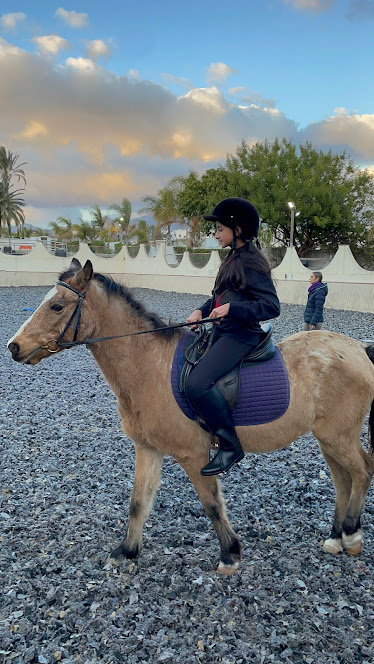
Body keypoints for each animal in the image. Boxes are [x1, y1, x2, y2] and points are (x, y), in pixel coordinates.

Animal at [6, 260, 374, 576]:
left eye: (57, 306)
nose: (13, 347)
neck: (148, 366)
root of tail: (359, 348)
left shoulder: (194, 454)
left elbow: (211, 504)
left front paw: (230, 555)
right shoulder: (148, 449)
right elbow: (138, 502)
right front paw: (126, 551)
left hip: (338, 436)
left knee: (361, 471)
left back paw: (352, 535)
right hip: (327, 438)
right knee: (343, 479)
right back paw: (336, 538)